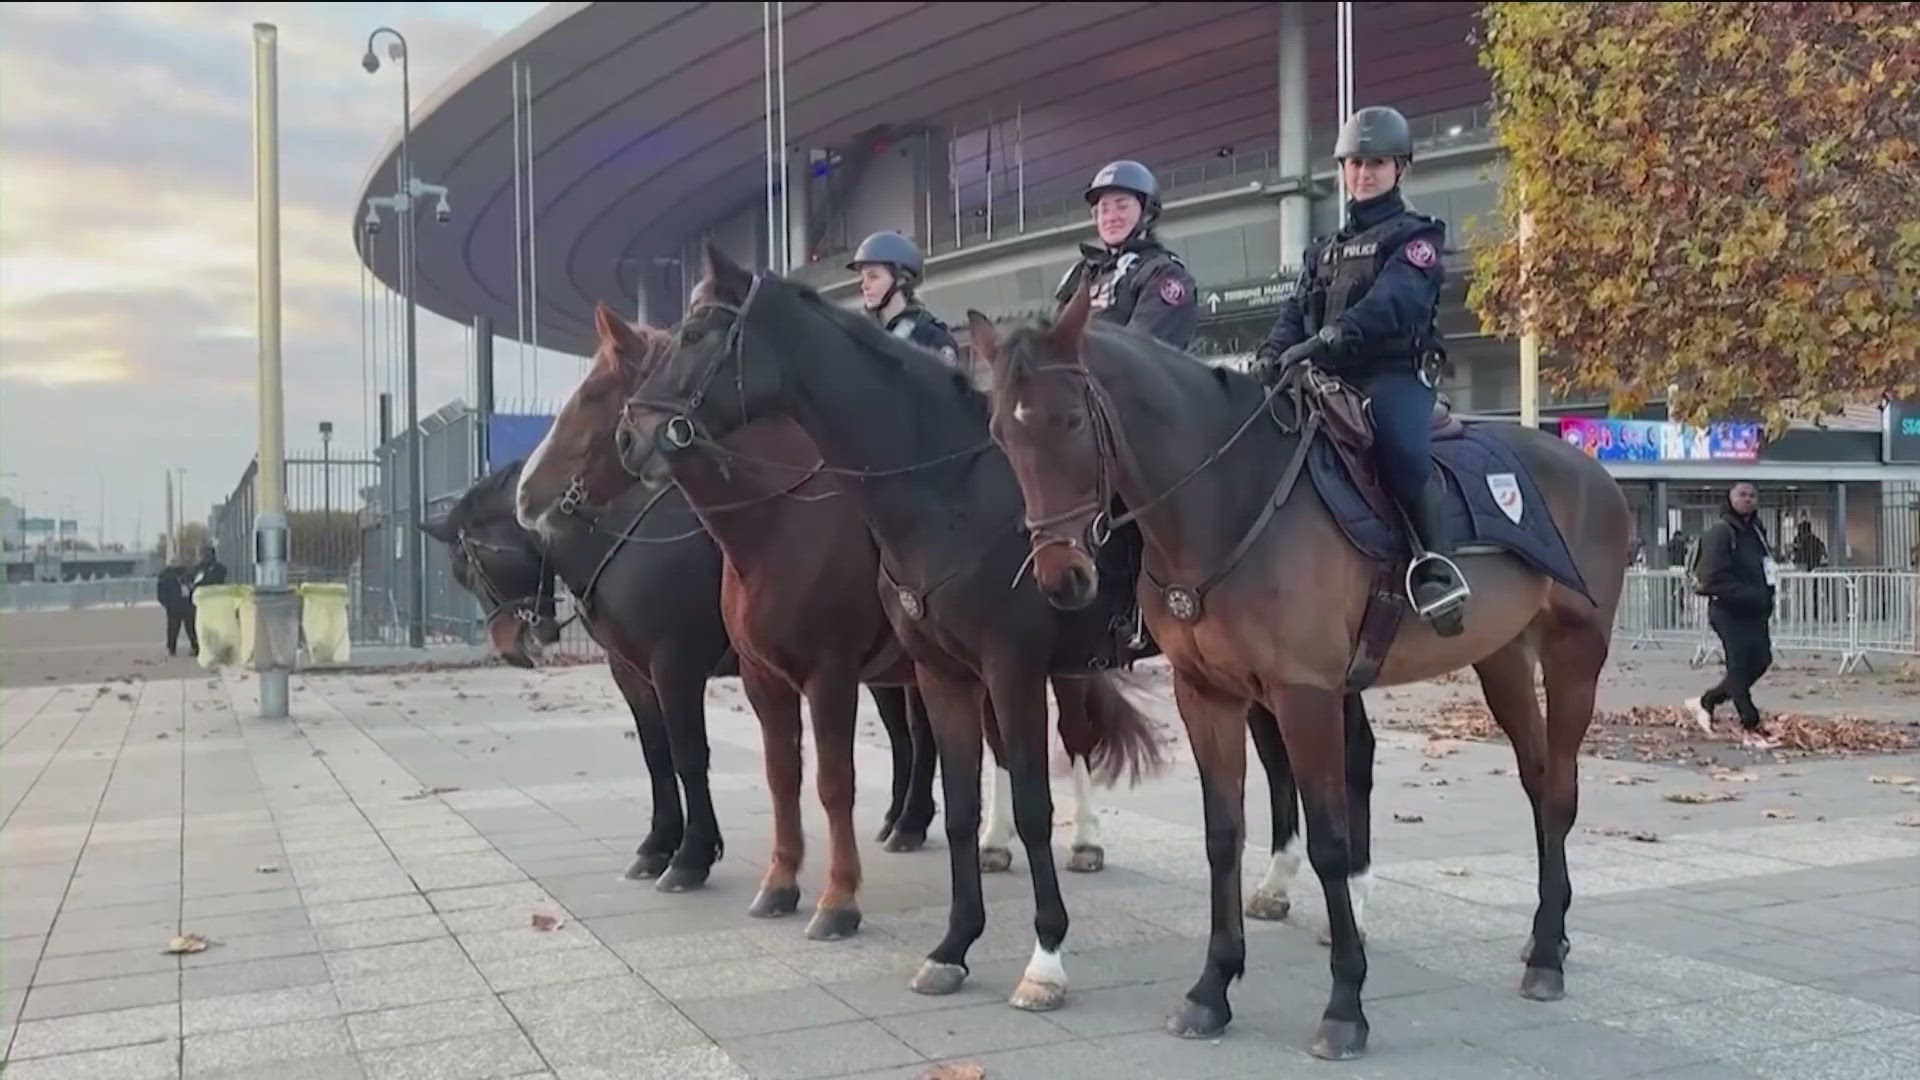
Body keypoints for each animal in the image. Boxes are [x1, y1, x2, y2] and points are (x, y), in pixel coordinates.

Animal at [967, 286, 1628, 1053]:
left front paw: (1345, 1005)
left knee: (1560, 792)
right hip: (1502, 658)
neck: (1227, 500)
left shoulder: (1304, 695)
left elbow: (1331, 842)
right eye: (1001, 435)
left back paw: (1548, 952)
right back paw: (1546, 937)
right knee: (1538, 779)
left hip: (1576, 655)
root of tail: (1588, 469)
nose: (1063, 577)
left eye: (1071, 420)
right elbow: (1223, 834)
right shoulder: (1206, 695)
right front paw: (1212, 988)